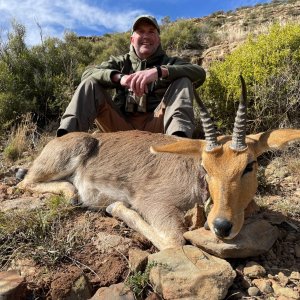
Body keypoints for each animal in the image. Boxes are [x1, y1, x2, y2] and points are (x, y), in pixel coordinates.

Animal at [18, 76, 300, 250]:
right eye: (205, 167)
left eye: (249, 166)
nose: (222, 226)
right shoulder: (153, 204)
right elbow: (176, 241)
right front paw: (115, 207)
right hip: (72, 152)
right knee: (26, 182)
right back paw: (71, 192)